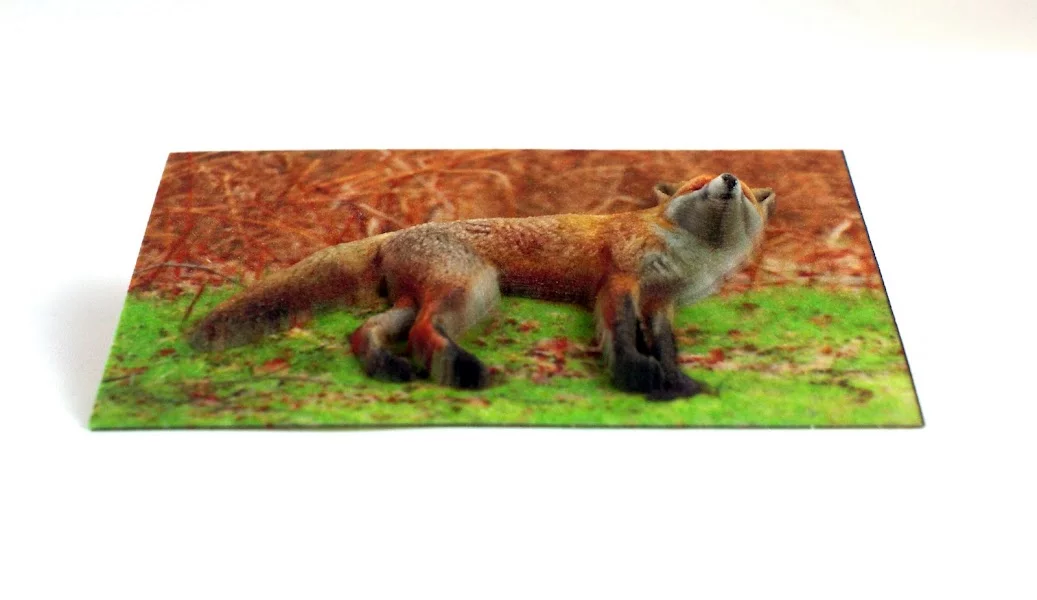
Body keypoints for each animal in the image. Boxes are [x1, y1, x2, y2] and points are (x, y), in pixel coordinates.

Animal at [188, 172, 775, 400]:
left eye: (744, 188)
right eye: (698, 184)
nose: (728, 180)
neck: (691, 257)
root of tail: (400, 230)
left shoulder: (661, 303)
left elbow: (669, 349)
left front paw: (679, 384)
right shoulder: (620, 284)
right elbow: (624, 339)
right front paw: (637, 378)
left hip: (418, 299)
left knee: (364, 332)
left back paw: (389, 369)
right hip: (473, 290)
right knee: (423, 334)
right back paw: (463, 372)